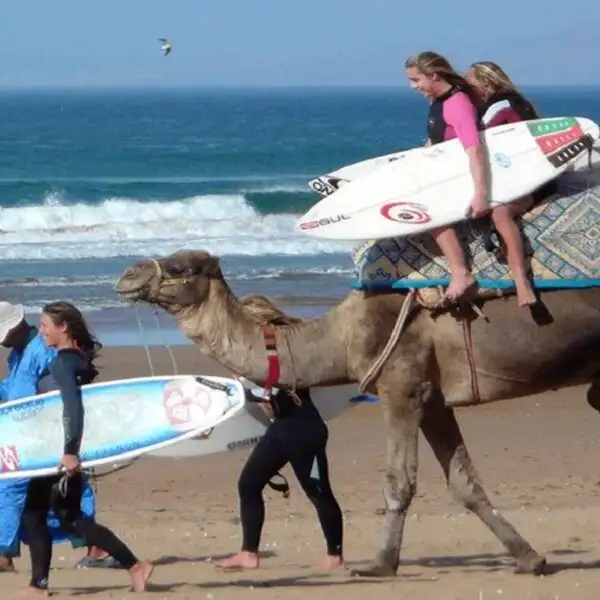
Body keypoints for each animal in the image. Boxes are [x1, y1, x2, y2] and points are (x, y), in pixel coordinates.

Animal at [115, 248, 600, 576]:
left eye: (180, 268)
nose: (127, 274)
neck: (342, 337)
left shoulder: (402, 386)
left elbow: (399, 481)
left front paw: (380, 563)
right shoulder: (434, 399)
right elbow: (464, 483)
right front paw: (530, 558)